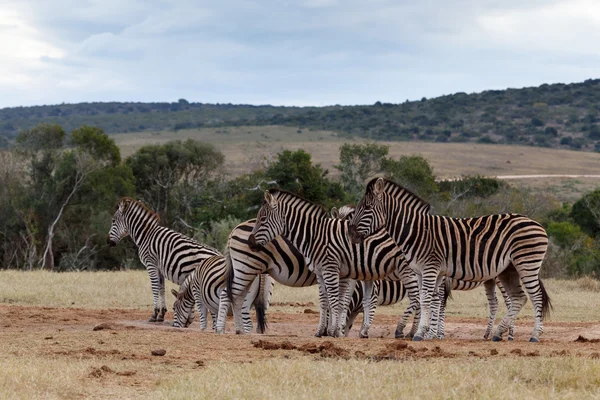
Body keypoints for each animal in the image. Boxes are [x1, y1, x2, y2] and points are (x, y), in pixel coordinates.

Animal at [106, 196, 268, 328]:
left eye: (113, 221)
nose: (108, 242)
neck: (146, 234)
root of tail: (221, 255)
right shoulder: (159, 267)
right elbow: (161, 288)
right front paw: (162, 314)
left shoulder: (151, 264)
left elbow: (154, 288)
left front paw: (154, 315)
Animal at [247, 191, 408, 338]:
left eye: (263, 219)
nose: (250, 242)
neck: (315, 236)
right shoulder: (323, 272)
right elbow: (326, 301)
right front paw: (323, 331)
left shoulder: (339, 272)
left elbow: (339, 300)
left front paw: (335, 330)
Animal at [350, 180, 552, 342]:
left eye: (367, 208)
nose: (351, 234)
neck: (417, 231)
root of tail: (537, 224)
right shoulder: (426, 272)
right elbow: (430, 300)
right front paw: (429, 333)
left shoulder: (430, 268)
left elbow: (426, 299)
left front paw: (420, 334)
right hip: (508, 270)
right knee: (519, 298)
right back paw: (498, 333)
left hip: (526, 264)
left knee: (535, 296)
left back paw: (533, 335)